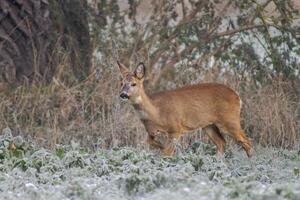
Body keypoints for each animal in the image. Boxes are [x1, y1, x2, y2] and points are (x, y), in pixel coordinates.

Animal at [117, 61, 253, 158]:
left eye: (134, 84)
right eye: (121, 83)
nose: (123, 94)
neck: (156, 112)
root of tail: (237, 96)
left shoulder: (175, 128)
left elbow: (167, 152)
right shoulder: (151, 132)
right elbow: (155, 145)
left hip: (229, 120)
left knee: (247, 142)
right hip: (208, 125)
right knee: (222, 143)